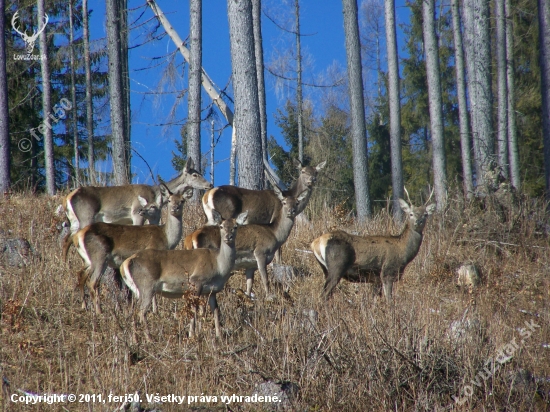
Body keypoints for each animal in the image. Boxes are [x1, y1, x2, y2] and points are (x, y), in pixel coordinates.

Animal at [62, 185, 194, 314]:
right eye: (169, 200)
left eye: (182, 200)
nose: (175, 208)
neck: (166, 239)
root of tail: (79, 236)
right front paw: (155, 311)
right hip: (99, 256)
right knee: (93, 281)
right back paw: (99, 311)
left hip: (90, 260)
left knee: (81, 275)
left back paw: (86, 306)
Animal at [63, 159, 212, 235]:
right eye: (195, 175)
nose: (209, 184)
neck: (156, 194)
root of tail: (68, 197)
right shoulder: (136, 212)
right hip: (86, 215)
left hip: (74, 220)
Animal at [122, 209, 250, 338]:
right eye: (221, 226)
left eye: (235, 226)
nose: (228, 237)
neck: (219, 266)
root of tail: (126, 263)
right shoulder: (196, 282)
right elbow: (194, 309)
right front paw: (192, 335)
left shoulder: (212, 291)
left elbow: (216, 311)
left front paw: (219, 336)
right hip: (147, 285)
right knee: (141, 311)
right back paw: (149, 338)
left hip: (137, 289)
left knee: (133, 311)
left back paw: (135, 338)